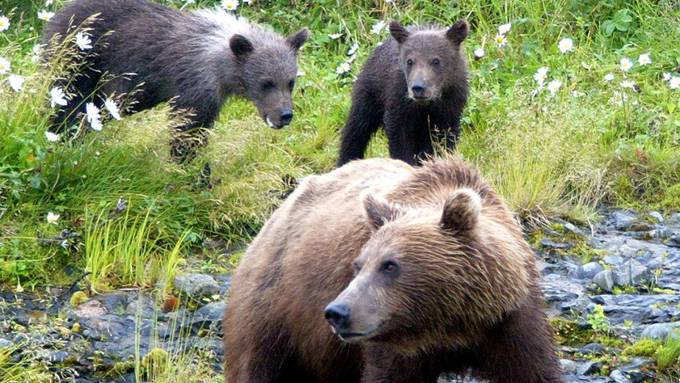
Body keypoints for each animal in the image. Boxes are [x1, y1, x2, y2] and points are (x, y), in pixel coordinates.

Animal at [41, 0, 308, 162]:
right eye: (266, 82)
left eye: (290, 82)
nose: (284, 115)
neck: (221, 70)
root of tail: (57, 14)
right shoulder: (194, 86)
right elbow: (186, 129)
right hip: (80, 60)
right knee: (69, 102)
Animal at [223, 157, 564, 383]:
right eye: (358, 265)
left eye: (390, 265)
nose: (337, 312)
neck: (451, 326)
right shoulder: (392, 345)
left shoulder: (511, 321)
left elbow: (534, 370)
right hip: (272, 311)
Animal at [338, 19, 470, 166]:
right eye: (410, 61)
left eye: (436, 60)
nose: (418, 87)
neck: (427, 104)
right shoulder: (399, 101)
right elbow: (399, 137)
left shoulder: (450, 104)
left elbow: (445, 138)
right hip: (370, 93)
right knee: (357, 128)